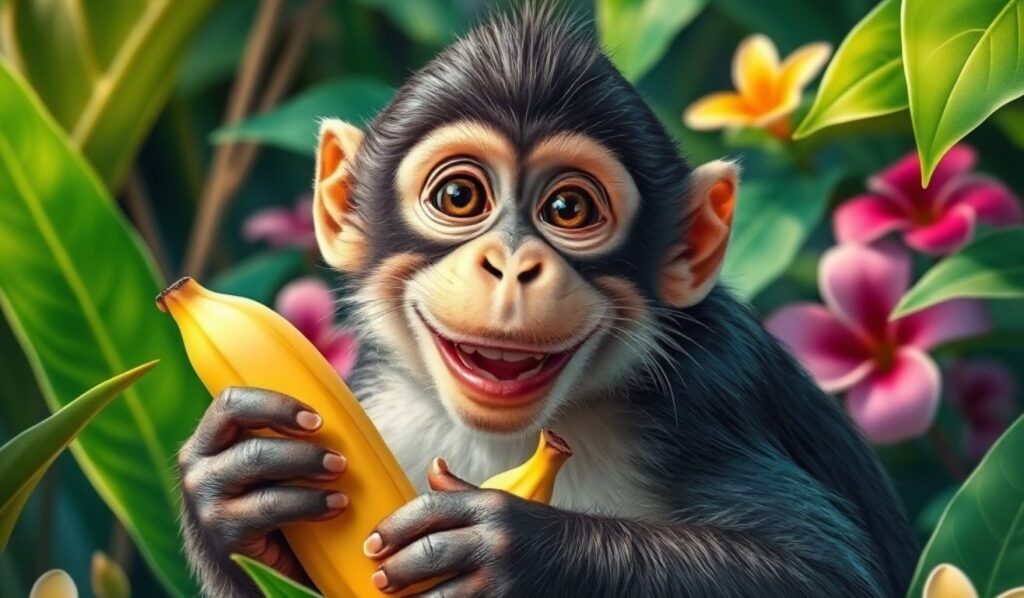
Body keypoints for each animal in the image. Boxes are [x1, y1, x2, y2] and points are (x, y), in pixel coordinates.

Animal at [176, 7, 919, 598]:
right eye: (459, 197)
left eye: (568, 209)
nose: (510, 265)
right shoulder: (380, 409)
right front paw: (229, 494)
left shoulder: (707, 393)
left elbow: (831, 574)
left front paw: (516, 550)